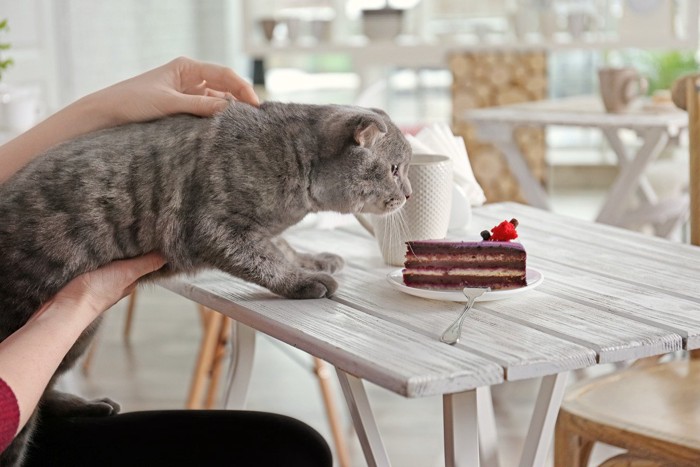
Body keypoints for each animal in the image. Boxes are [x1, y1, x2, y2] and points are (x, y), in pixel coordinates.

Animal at [0, 103, 410, 467]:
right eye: (394, 169)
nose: (407, 193)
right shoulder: (217, 229)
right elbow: (267, 261)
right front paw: (302, 280)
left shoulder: (256, 230)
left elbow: (283, 247)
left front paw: (314, 259)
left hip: (79, 336)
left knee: (46, 391)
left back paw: (87, 405)